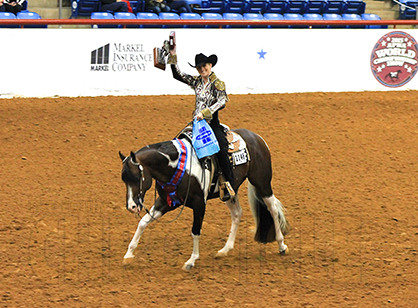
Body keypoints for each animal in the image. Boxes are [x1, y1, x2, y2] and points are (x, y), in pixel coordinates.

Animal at [119, 127, 290, 270]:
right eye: (124, 180)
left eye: (136, 177)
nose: (131, 206)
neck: (176, 166)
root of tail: (256, 137)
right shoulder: (165, 201)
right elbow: (143, 223)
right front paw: (128, 255)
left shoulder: (199, 203)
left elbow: (195, 231)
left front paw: (191, 260)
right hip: (229, 192)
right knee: (237, 214)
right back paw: (225, 250)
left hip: (262, 183)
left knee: (273, 209)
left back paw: (281, 245)